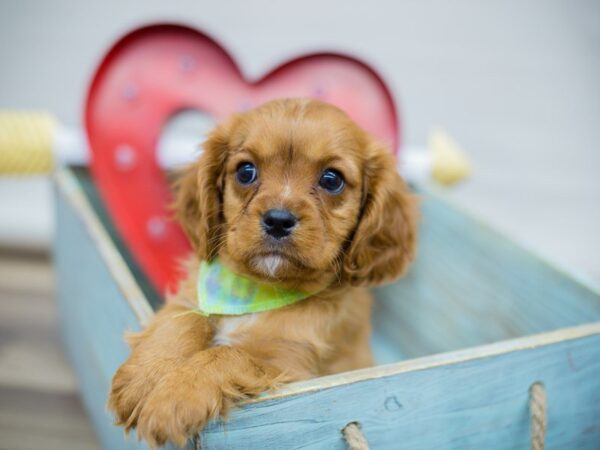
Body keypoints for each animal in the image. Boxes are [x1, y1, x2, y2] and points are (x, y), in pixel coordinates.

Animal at [108, 98, 418, 446]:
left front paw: (174, 398)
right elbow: (184, 321)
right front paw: (144, 378)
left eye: (332, 179)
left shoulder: (290, 363)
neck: (257, 289)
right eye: (246, 172)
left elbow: (228, 355)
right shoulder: (191, 296)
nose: (278, 220)